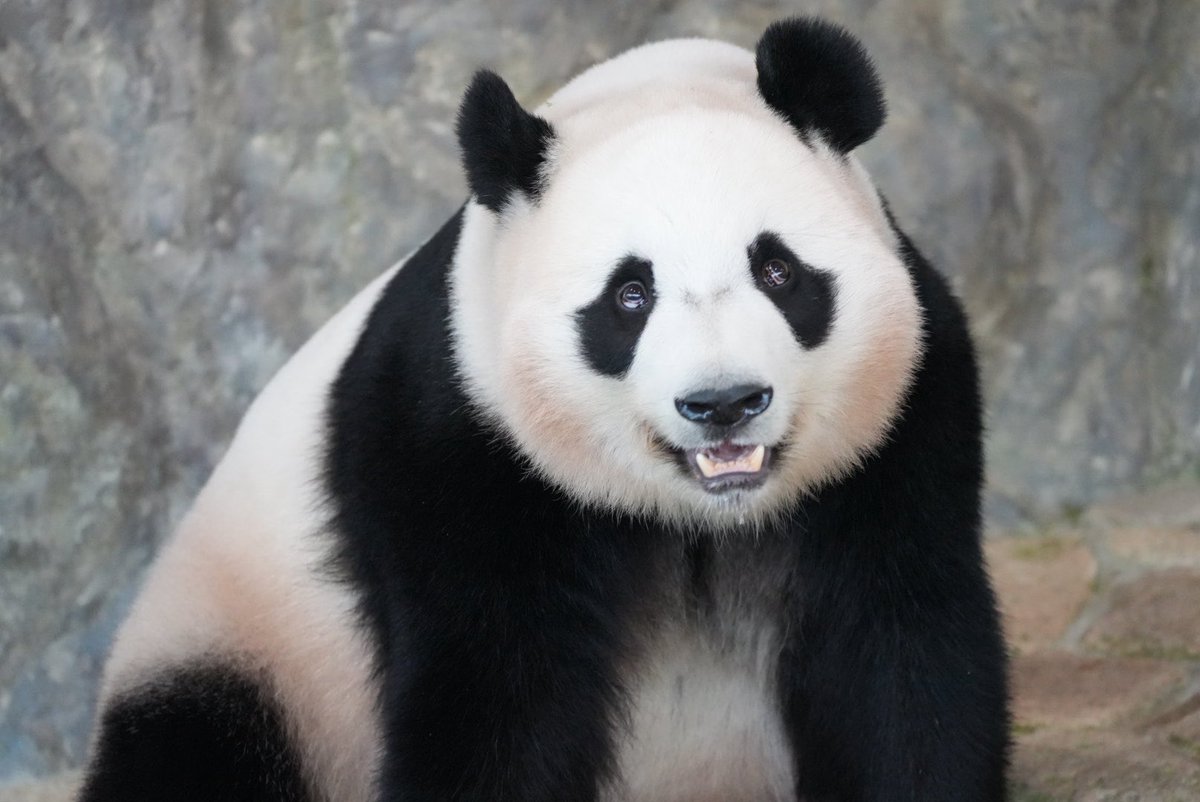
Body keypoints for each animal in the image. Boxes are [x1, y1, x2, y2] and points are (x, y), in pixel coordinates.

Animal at [79, 17, 1009, 802]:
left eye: (778, 271)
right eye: (630, 297)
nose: (723, 403)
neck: (702, 521)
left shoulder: (905, 420)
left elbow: (899, 658)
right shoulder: (460, 441)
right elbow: (498, 694)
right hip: (244, 647)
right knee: (196, 752)